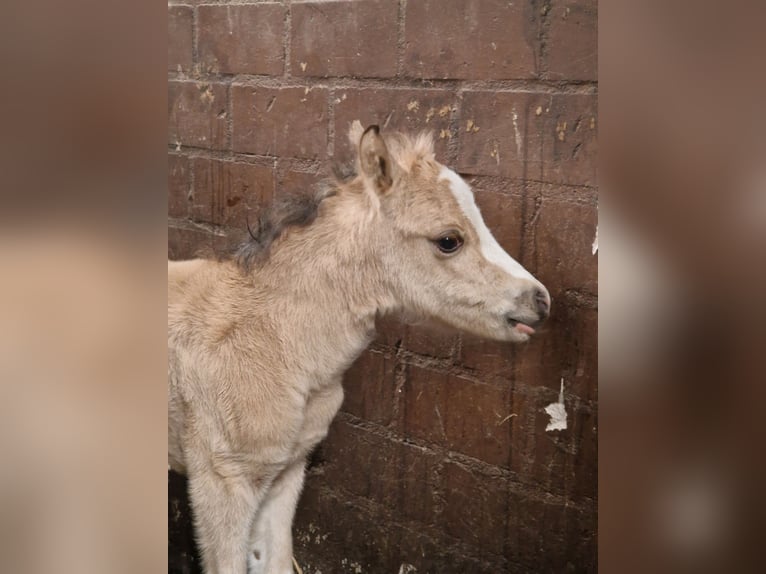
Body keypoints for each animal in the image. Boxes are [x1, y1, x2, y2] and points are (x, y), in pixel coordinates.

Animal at [168, 121, 550, 574]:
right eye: (448, 240)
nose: (540, 301)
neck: (273, 337)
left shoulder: (285, 470)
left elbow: (274, 558)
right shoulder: (222, 480)